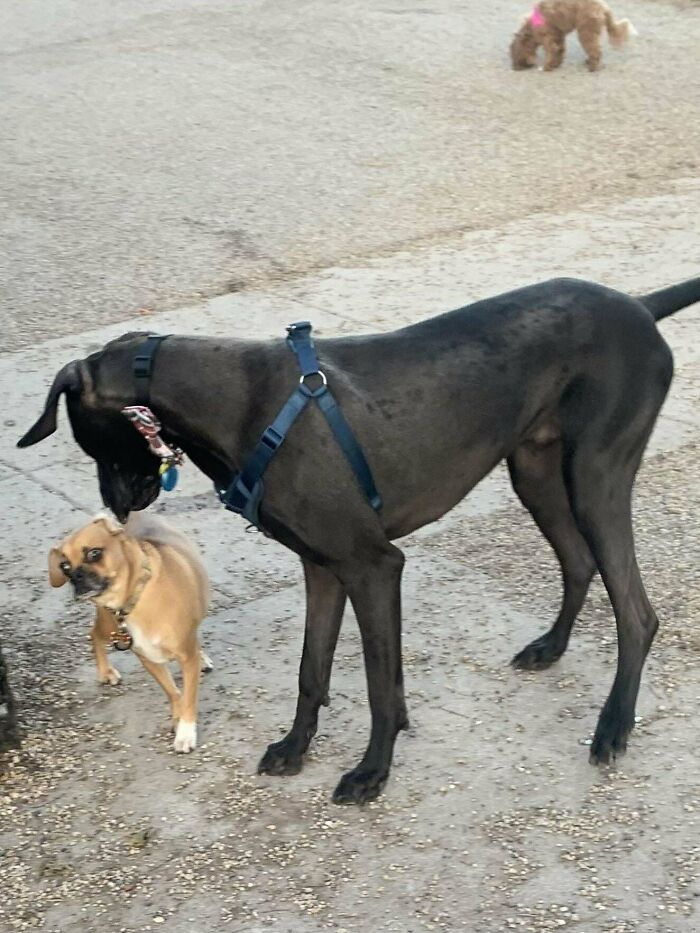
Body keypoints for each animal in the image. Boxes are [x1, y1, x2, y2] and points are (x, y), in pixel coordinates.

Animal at [49, 510, 211, 748]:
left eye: (94, 553)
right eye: (64, 566)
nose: (75, 576)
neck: (136, 596)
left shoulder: (186, 654)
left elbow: (188, 696)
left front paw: (185, 732)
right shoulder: (149, 659)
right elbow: (173, 692)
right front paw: (178, 717)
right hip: (107, 625)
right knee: (94, 634)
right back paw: (106, 672)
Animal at [508, 0, 636, 73]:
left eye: (514, 54)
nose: (514, 68)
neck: (530, 29)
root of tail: (604, 7)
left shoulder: (548, 36)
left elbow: (552, 50)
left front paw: (547, 67)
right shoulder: (558, 35)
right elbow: (560, 50)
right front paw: (556, 64)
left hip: (586, 29)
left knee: (595, 50)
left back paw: (592, 67)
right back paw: (589, 61)